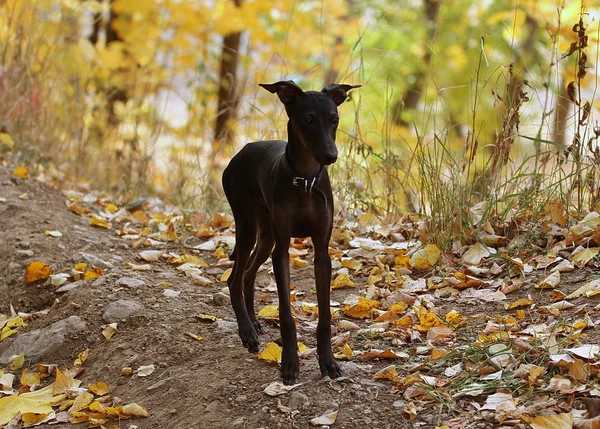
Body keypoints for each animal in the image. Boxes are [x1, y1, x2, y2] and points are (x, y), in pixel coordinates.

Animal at [221, 80, 358, 384]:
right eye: (307, 120)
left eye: (335, 119)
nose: (331, 156)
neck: (305, 181)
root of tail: (241, 151)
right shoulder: (282, 250)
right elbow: (286, 314)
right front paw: (290, 363)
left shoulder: (322, 251)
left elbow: (325, 315)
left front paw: (328, 362)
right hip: (248, 226)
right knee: (234, 280)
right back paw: (247, 333)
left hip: (266, 236)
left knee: (247, 275)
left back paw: (254, 322)